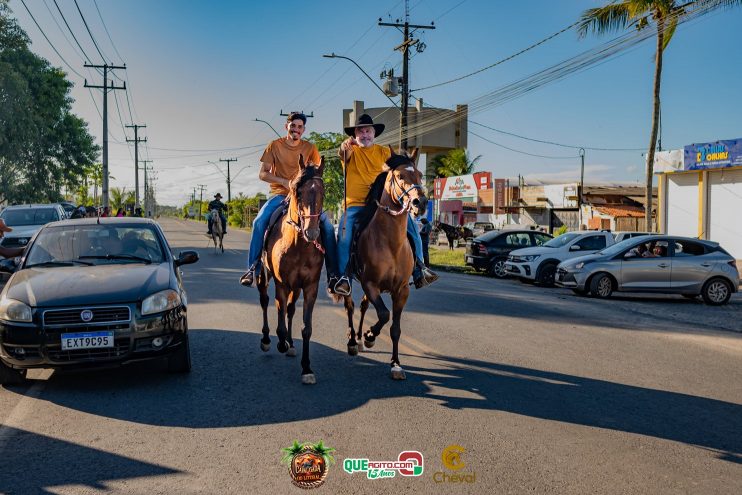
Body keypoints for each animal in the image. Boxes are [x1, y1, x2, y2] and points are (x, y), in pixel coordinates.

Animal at [256, 157, 326, 386]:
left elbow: (306, 327)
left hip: (296, 288)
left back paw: (290, 344)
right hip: (263, 277)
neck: (299, 244)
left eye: (323, 191)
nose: (312, 232)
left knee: (290, 308)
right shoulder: (282, 284)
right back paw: (268, 340)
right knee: (265, 301)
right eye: (297, 190)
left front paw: (306, 367)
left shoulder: (310, 287)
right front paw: (280, 342)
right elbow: (278, 313)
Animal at [342, 146, 424, 380]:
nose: (421, 203)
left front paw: (396, 364)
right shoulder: (371, 284)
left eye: (420, 175)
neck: (390, 243)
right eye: (400, 176)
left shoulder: (402, 290)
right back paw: (354, 340)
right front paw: (370, 335)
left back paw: (360, 340)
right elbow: (384, 314)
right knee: (350, 306)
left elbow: (394, 327)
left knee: (362, 306)